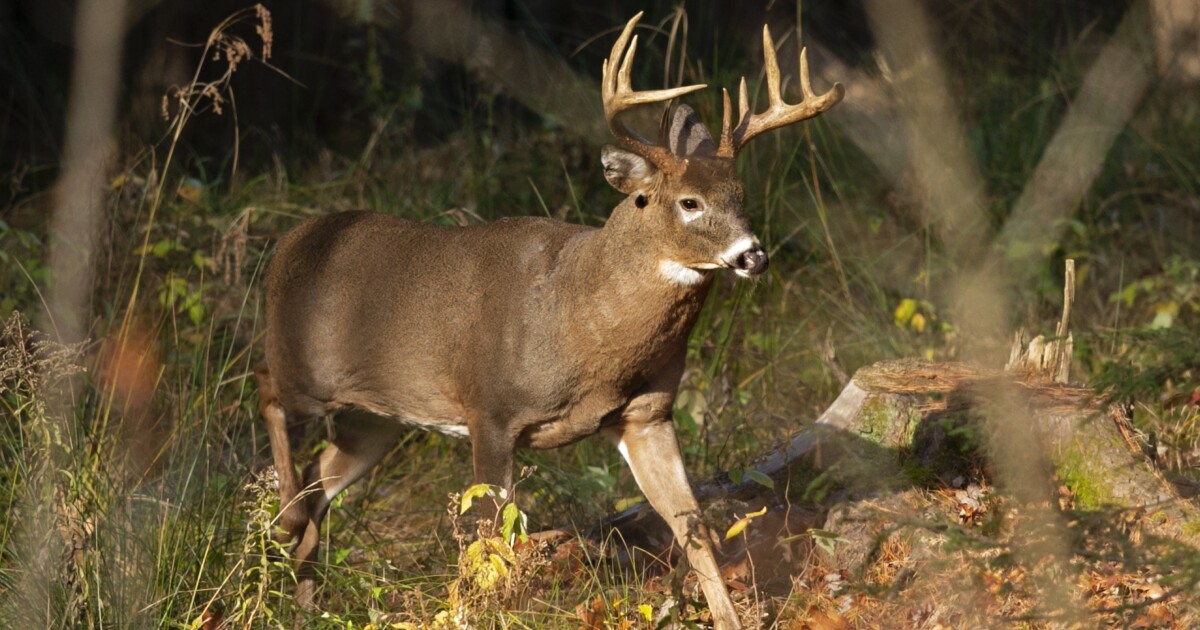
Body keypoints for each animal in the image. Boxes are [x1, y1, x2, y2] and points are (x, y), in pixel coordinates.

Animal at [255, 12, 842, 629]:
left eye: (741, 195)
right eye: (689, 202)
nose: (754, 256)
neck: (580, 324)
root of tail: (287, 245)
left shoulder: (647, 415)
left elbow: (692, 525)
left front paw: (729, 617)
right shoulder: (490, 408)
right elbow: (491, 542)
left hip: (376, 417)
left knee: (321, 479)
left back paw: (303, 600)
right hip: (305, 367)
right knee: (266, 388)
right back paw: (285, 525)